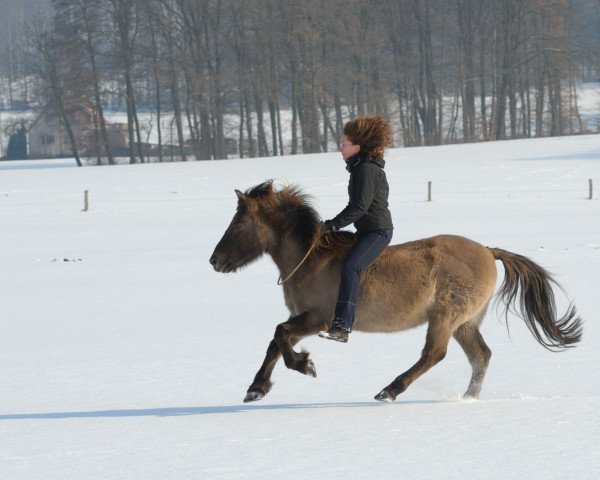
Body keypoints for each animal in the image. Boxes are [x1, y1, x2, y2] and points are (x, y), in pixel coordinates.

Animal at [210, 180, 580, 402]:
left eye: (239, 224)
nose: (214, 260)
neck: (309, 257)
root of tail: (489, 252)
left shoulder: (318, 319)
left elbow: (280, 335)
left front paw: (305, 366)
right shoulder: (304, 319)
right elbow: (276, 341)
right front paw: (256, 389)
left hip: (446, 317)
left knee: (434, 354)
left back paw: (389, 390)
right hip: (465, 322)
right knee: (480, 357)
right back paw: (467, 398)